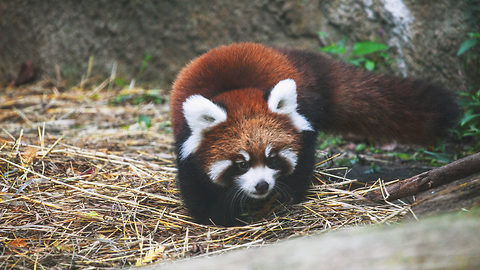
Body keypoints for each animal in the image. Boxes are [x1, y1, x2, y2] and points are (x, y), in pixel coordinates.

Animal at [171, 42, 460, 226]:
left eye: (272, 159)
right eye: (241, 164)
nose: (262, 185)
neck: (238, 92)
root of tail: (289, 54)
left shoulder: (303, 128)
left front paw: (285, 200)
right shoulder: (186, 143)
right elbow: (197, 187)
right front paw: (215, 217)